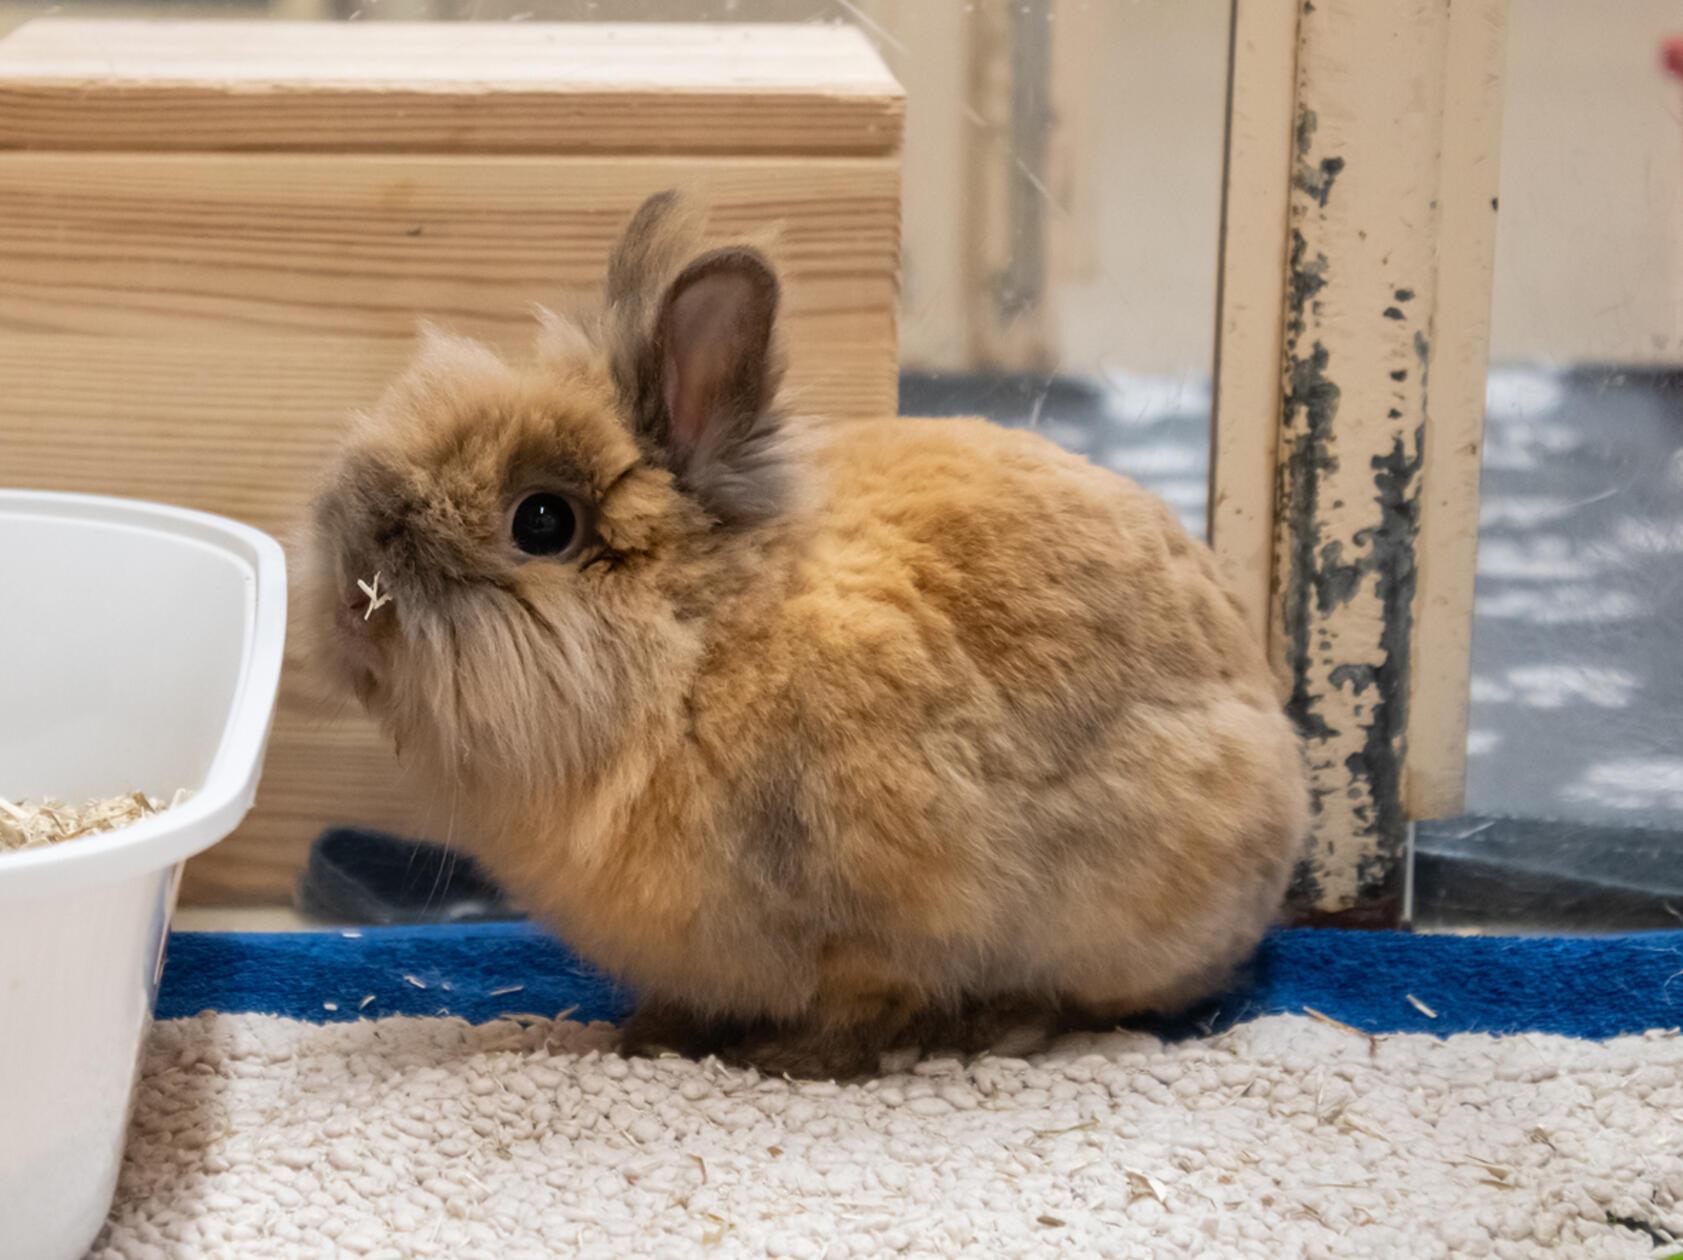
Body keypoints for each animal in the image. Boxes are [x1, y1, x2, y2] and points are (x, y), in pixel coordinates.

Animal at [296, 189, 1308, 1078]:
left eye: (541, 522)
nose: (350, 601)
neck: (698, 649)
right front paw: (648, 1036)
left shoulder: (886, 921)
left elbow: (863, 1003)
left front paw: (796, 1062)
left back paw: (995, 1026)